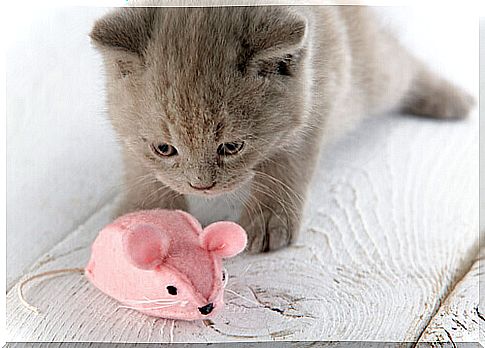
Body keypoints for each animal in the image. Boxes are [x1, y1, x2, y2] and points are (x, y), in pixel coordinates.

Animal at [90, 5, 472, 253]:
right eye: (164, 148)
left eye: (232, 147)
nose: (202, 186)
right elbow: (140, 167)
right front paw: (148, 215)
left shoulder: (320, 95)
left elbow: (287, 163)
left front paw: (270, 219)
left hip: (371, 76)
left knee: (402, 62)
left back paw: (451, 99)